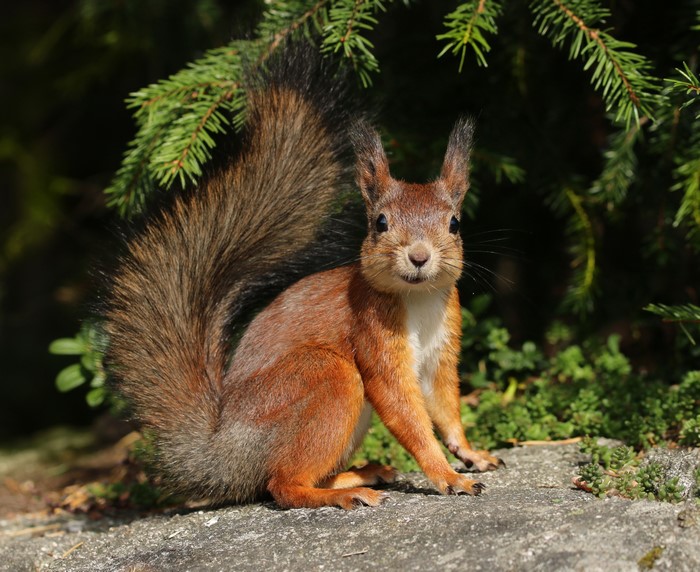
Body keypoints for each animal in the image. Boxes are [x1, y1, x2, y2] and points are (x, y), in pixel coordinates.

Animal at [105, 47, 502, 510]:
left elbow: (445, 406)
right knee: (282, 483)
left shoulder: (441, 350)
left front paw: (471, 454)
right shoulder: (373, 337)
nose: (419, 256)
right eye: (380, 223)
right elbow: (405, 411)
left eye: (455, 223)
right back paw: (345, 493)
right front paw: (446, 475)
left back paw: (360, 474)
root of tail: (223, 453)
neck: (416, 300)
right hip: (326, 377)